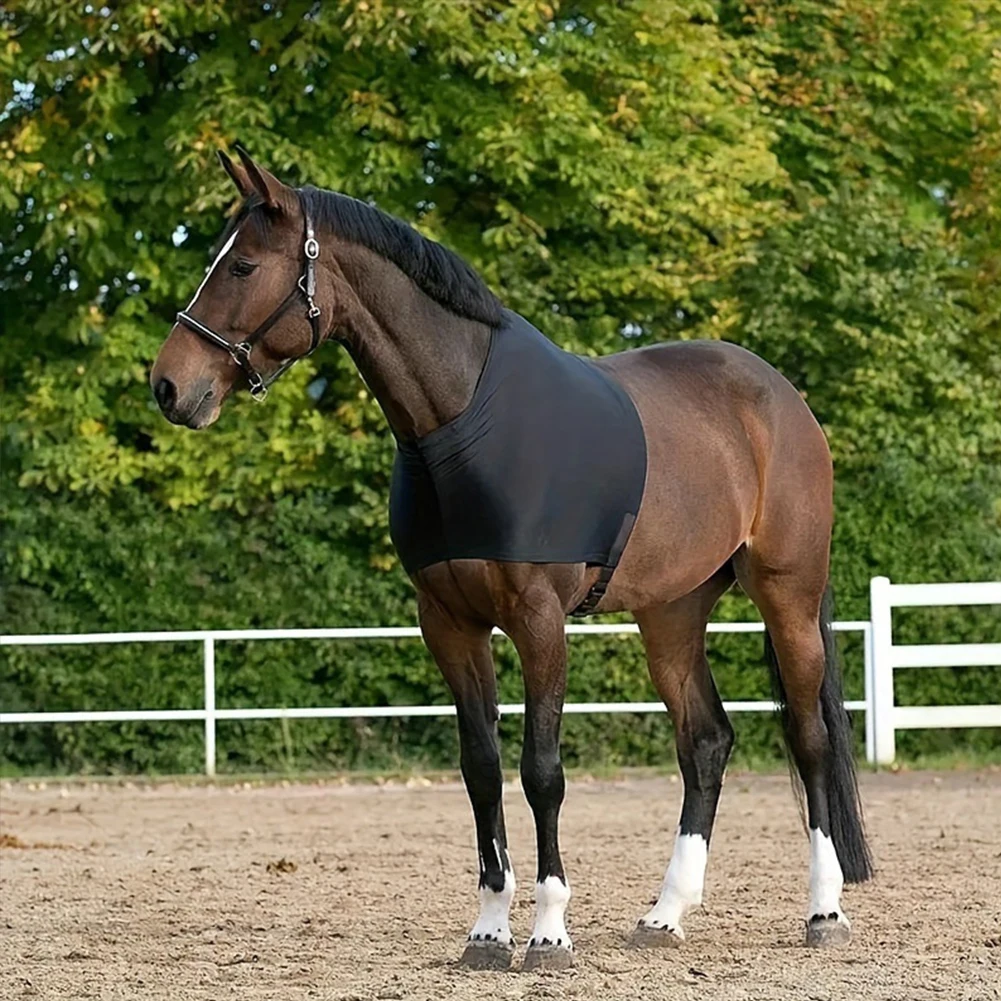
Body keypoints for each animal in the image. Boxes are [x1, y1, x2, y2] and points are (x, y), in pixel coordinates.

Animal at [151, 147, 872, 972]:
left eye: (241, 265)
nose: (169, 385)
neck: (462, 422)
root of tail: (781, 397)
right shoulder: (449, 624)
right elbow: (481, 769)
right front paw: (489, 929)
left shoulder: (538, 621)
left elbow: (541, 772)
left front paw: (548, 930)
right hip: (671, 611)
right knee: (706, 742)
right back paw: (663, 913)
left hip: (787, 593)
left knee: (810, 740)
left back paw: (823, 909)